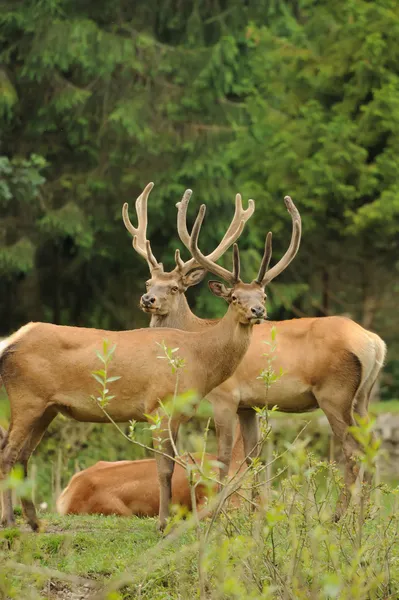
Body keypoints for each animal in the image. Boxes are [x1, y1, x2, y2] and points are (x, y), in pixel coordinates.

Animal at [125, 184, 388, 520]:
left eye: (175, 288)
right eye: (149, 282)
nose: (148, 300)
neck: (200, 337)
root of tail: (373, 342)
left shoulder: (225, 395)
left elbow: (224, 454)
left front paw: (215, 511)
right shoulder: (247, 405)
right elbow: (252, 457)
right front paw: (254, 512)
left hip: (335, 392)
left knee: (351, 449)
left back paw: (339, 515)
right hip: (363, 397)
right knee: (371, 445)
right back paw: (366, 513)